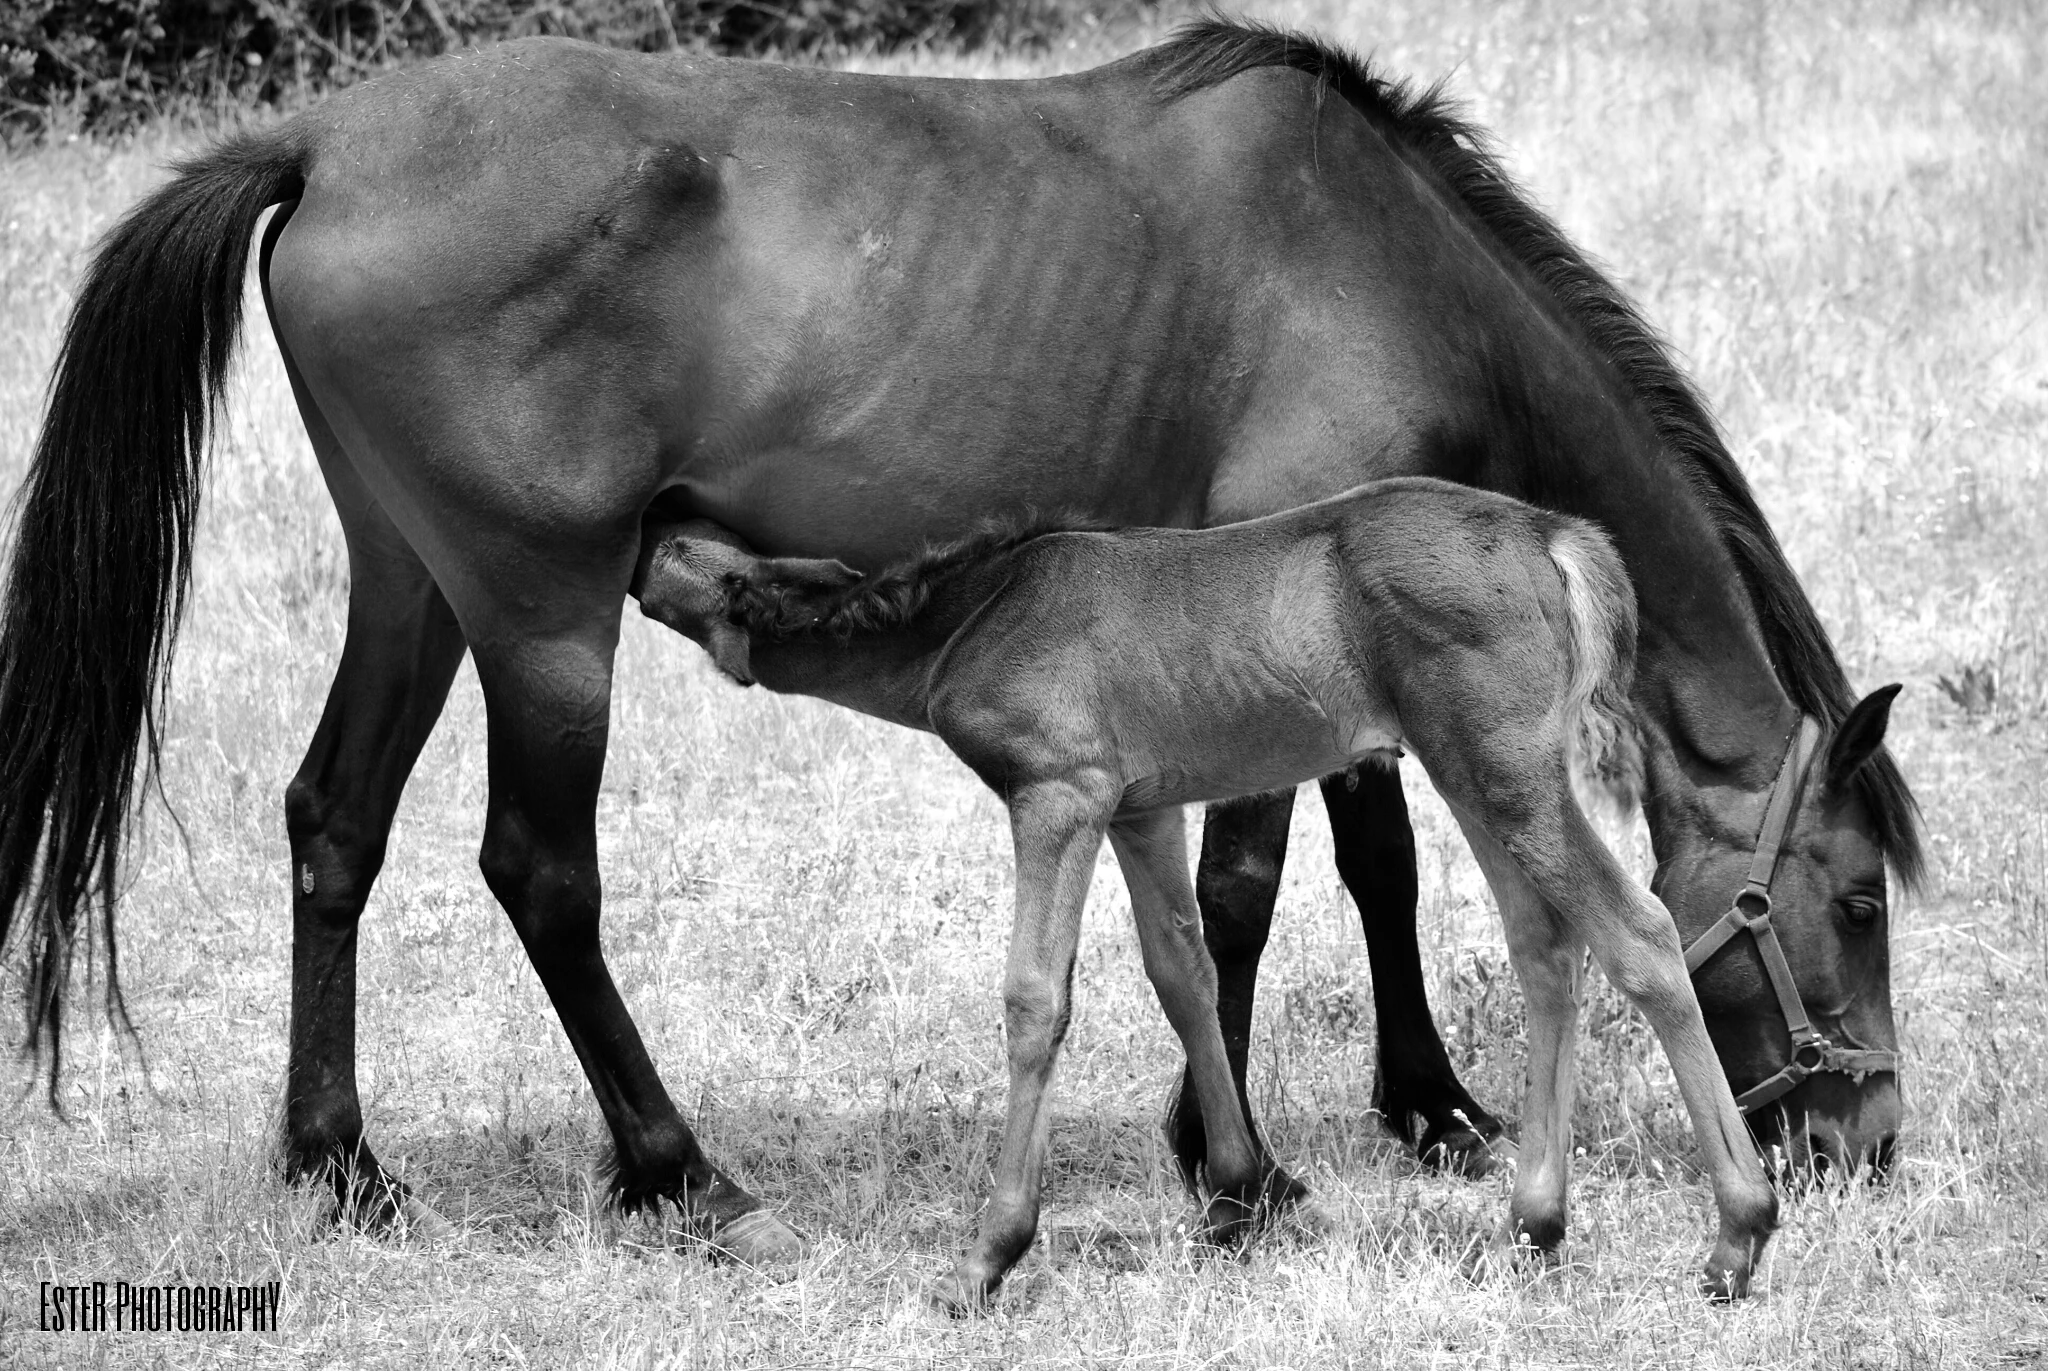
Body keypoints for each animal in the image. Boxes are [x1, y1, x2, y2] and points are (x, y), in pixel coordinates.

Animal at [632, 486, 1779, 1304]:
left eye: (685, 552)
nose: (638, 531)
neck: (971, 611)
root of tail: (1551, 534)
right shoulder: (1141, 810)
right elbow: (1180, 972)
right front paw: (1238, 1196)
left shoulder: (1060, 795)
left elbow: (1034, 998)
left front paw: (988, 1254)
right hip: (1482, 774)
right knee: (1545, 944)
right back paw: (1535, 1223)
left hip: (1501, 771)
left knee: (1637, 933)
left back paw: (1736, 1232)